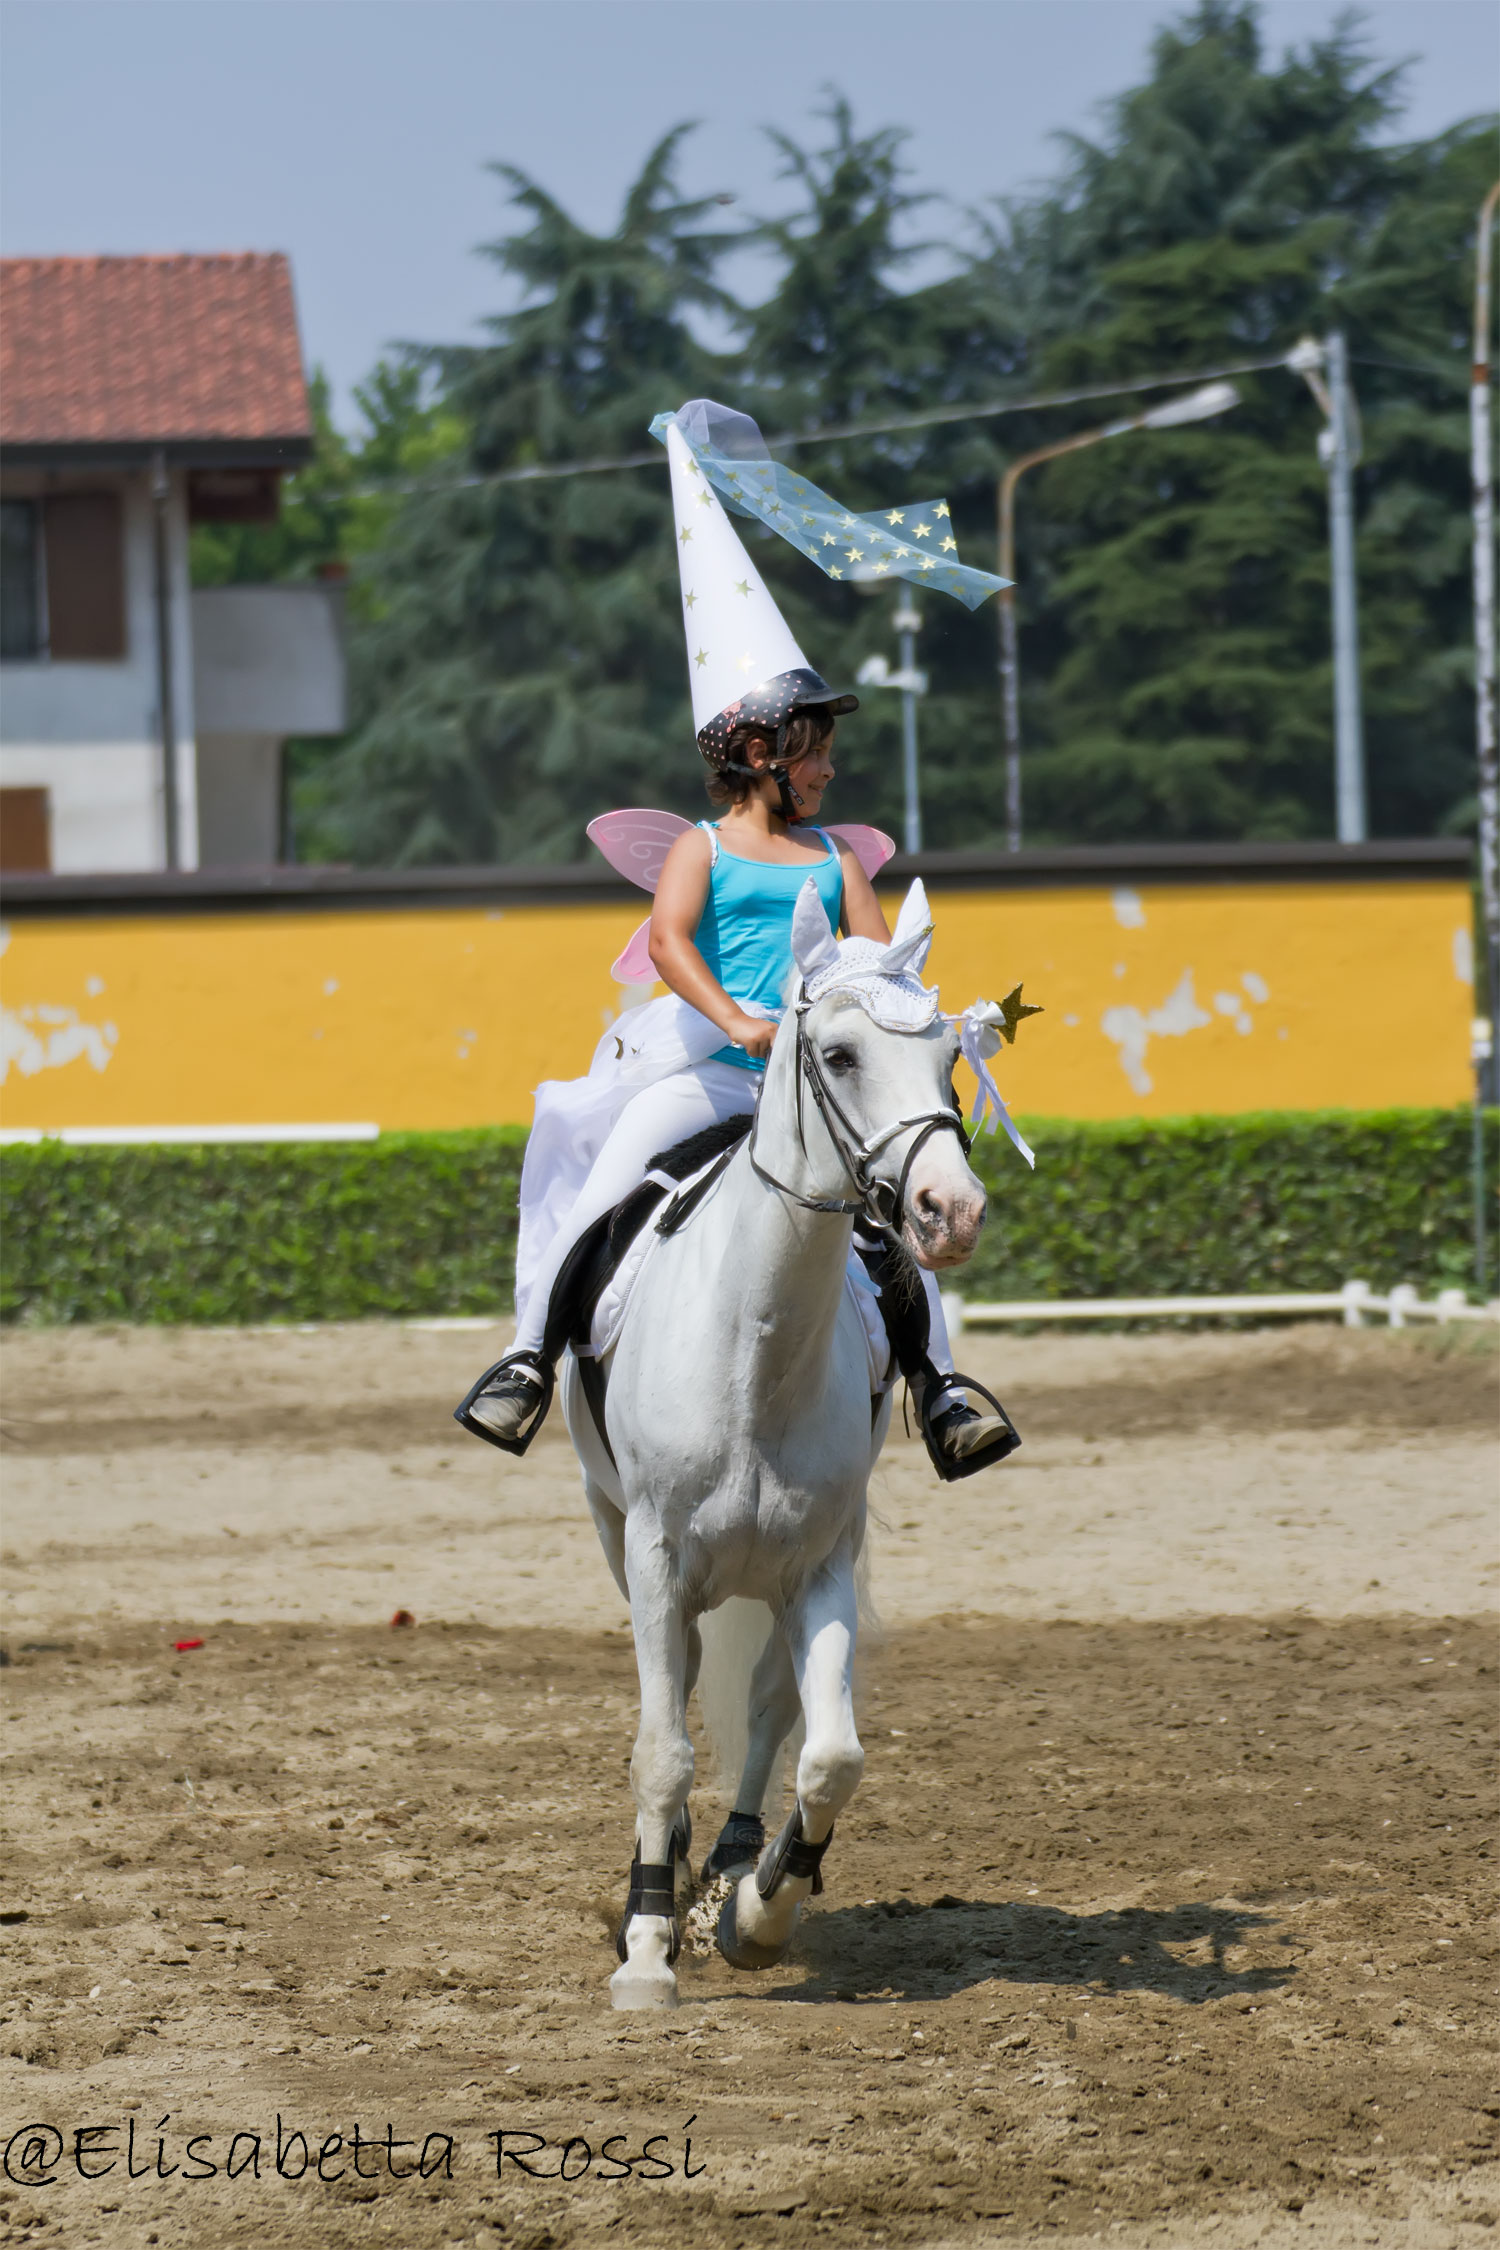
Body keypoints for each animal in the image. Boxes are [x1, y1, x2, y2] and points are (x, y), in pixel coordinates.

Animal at [558, 880, 993, 2008]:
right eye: (837, 1055)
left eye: (951, 1057)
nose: (951, 1212)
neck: (753, 1347)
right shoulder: (656, 1552)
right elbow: (661, 1749)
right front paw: (647, 1950)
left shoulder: (822, 1563)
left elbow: (828, 1753)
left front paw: (758, 1912)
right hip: (617, 1534)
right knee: (678, 1695)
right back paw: (662, 1880)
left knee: (762, 1708)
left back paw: (730, 1862)